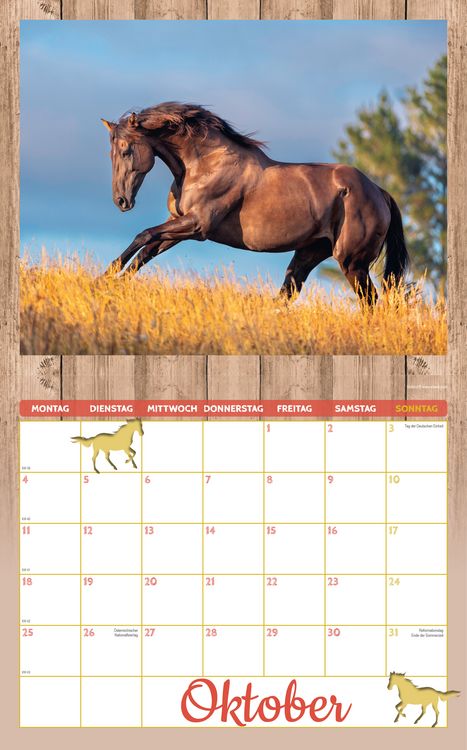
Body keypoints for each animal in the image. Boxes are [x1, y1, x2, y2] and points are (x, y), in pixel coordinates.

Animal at [100, 102, 409, 303]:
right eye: (110, 154)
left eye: (126, 150)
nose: (121, 201)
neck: (204, 164)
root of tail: (378, 191)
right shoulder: (177, 224)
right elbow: (146, 250)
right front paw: (109, 281)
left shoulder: (197, 226)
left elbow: (143, 235)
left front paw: (104, 277)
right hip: (310, 253)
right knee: (287, 293)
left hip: (352, 262)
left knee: (369, 302)